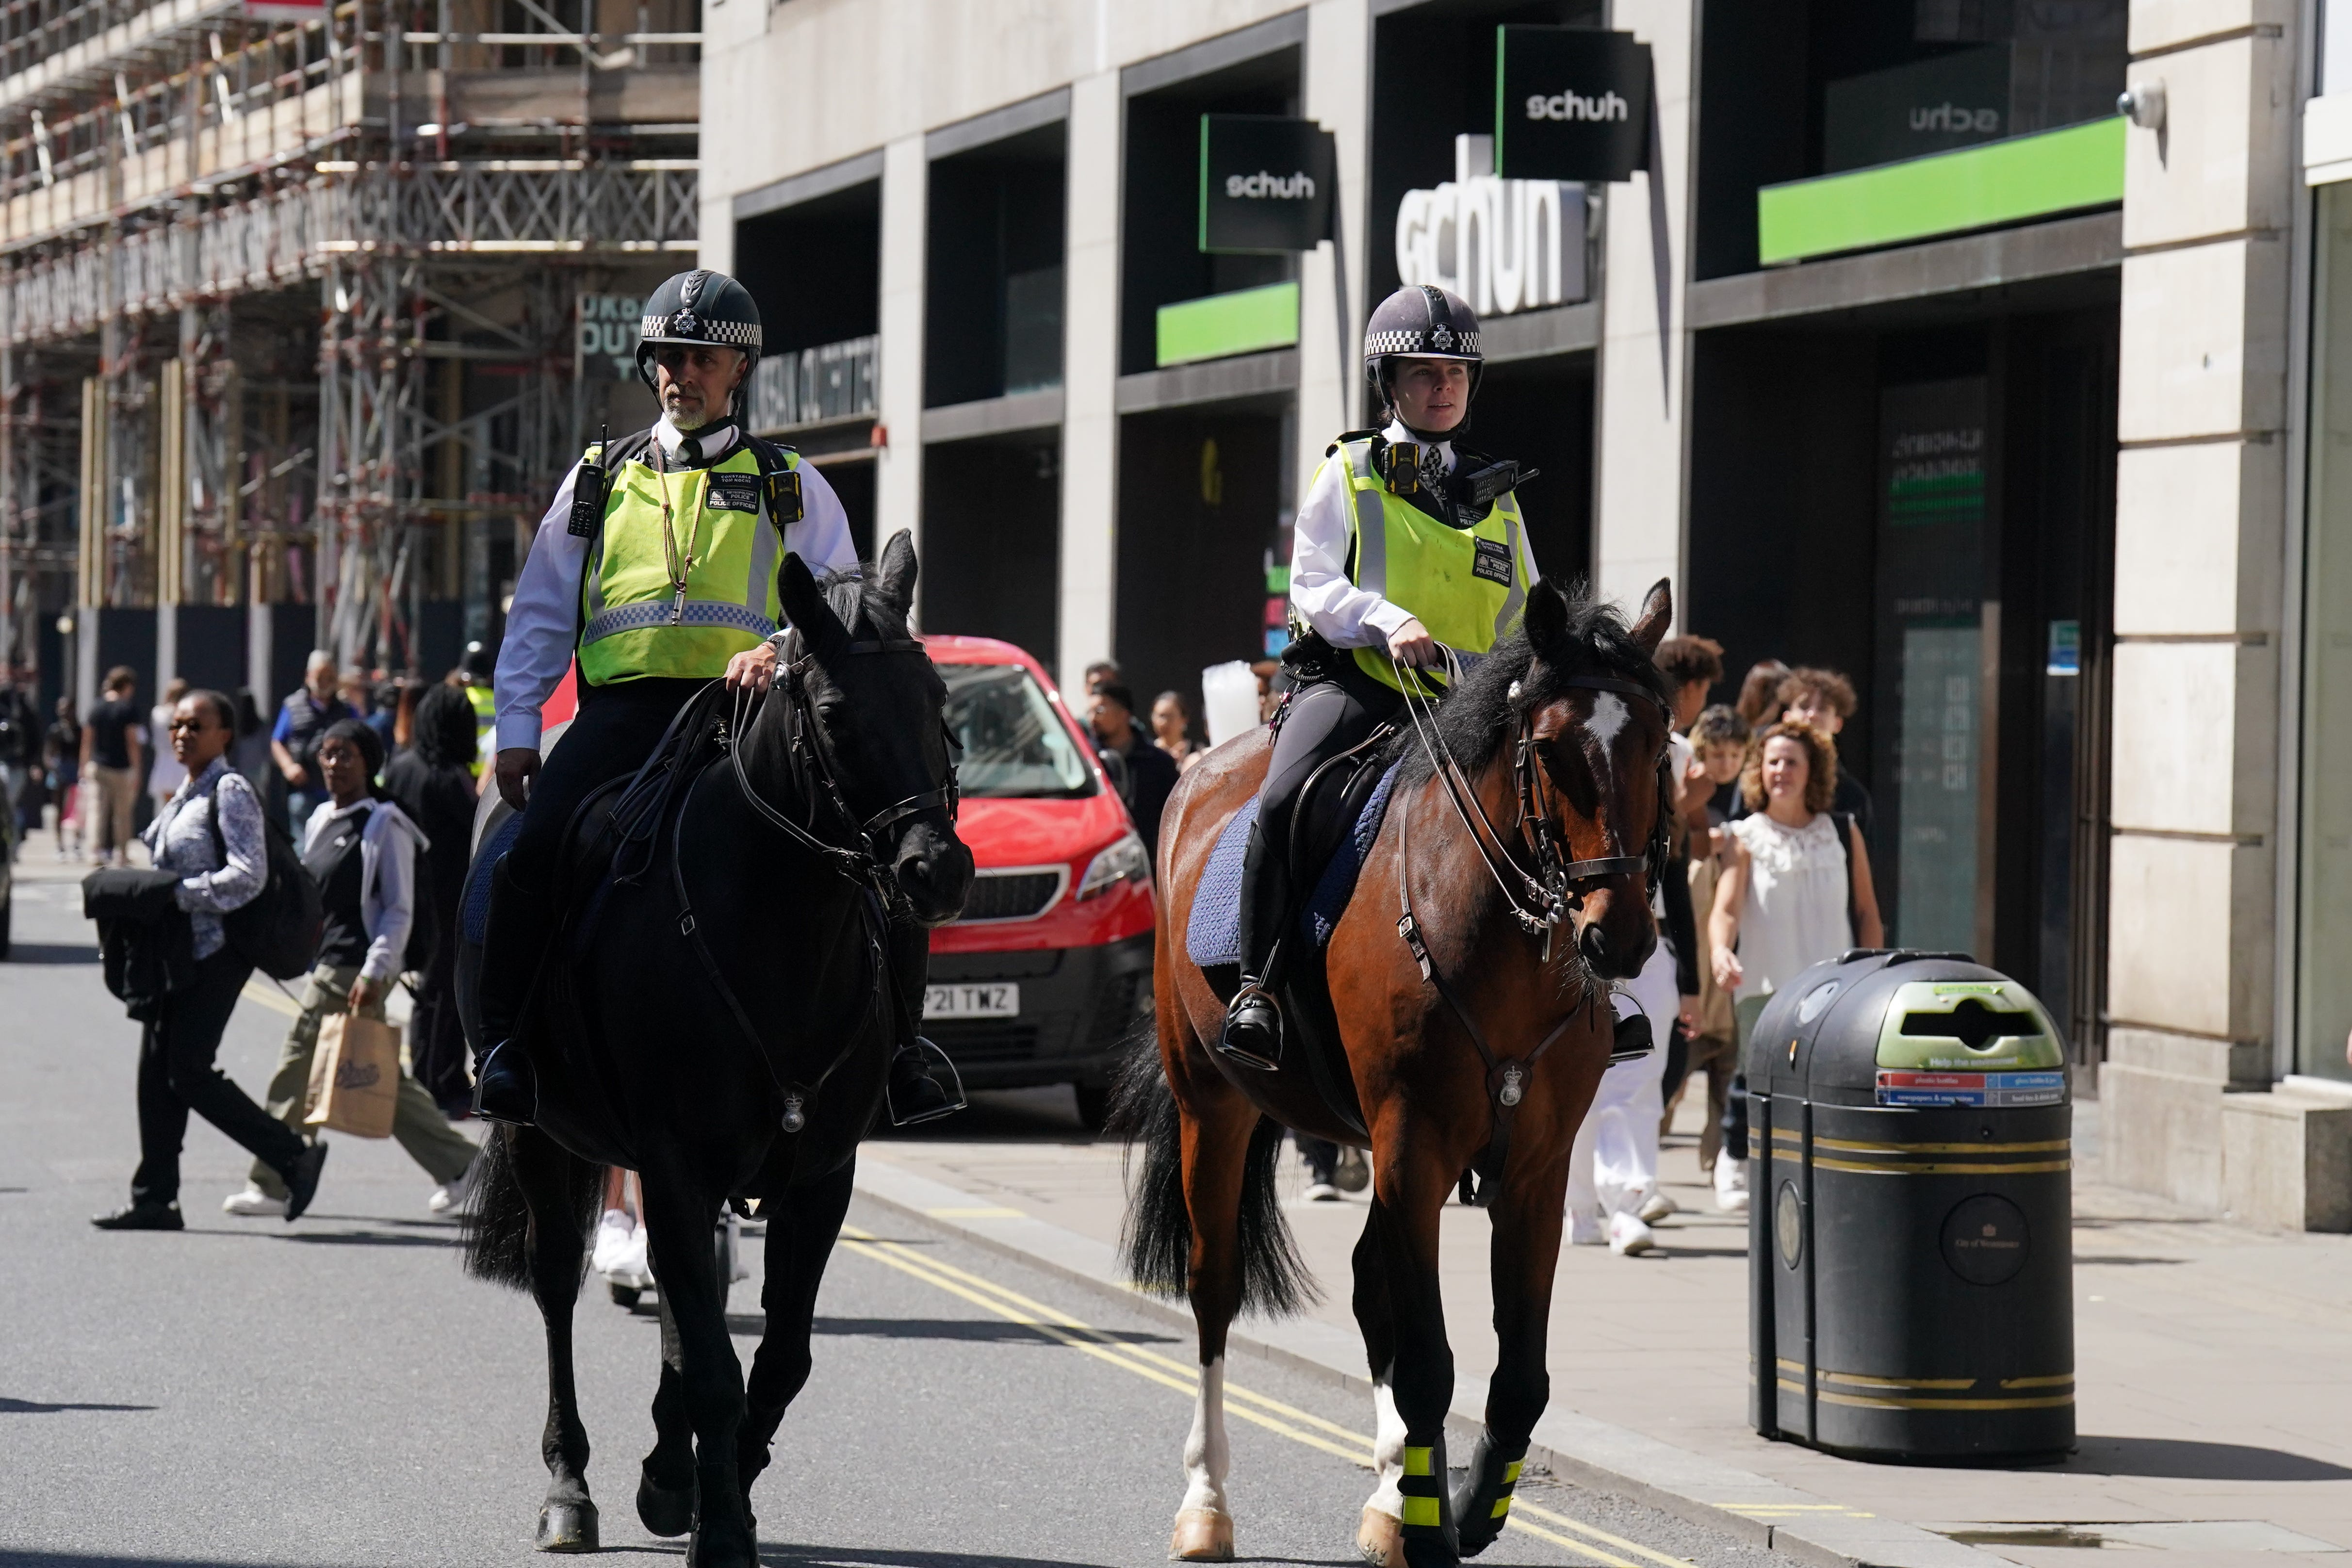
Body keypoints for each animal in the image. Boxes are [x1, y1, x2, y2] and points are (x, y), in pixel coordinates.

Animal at [458, 533, 974, 1561]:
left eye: (937, 697)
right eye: (832, 713)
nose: (934, 870)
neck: (774, 932)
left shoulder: (819, 1176)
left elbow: (775, 1359)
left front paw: (711, 1479)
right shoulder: (675, 1164)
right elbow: (712, 1364)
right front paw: (722, 1523)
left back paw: (669, 1467)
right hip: (540, 1135)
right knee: (556, 1284)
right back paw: (570, 1483)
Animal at [1114, 580, 1674, 1568]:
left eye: (1656, 743)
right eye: (1550, 748)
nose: (1621, 936)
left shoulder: (1532, 1169)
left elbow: (1516, 1375)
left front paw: (1465, 1504)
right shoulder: (1413, 1148)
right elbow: (1426, 1360)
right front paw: (1431, 1523)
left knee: (1371, 1285)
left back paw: (1386, 1493)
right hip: (1211, 1106)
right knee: (1214, 1286)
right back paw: (1207, 1503)